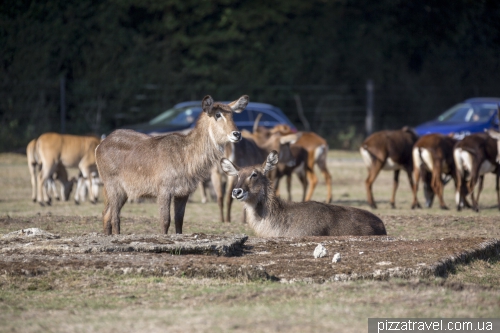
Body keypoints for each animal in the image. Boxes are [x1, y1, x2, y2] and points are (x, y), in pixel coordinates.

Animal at [94, 93, 247, 233]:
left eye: (232, 115)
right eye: (217, 114)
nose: (237, 134)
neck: (187, 159)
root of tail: (99, 145)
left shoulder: (183, 192)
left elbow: (179, 221)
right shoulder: (164, 189)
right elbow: (165, 221)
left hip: (122, 191)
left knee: (105, 214)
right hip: (113, 185)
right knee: (115, 218)